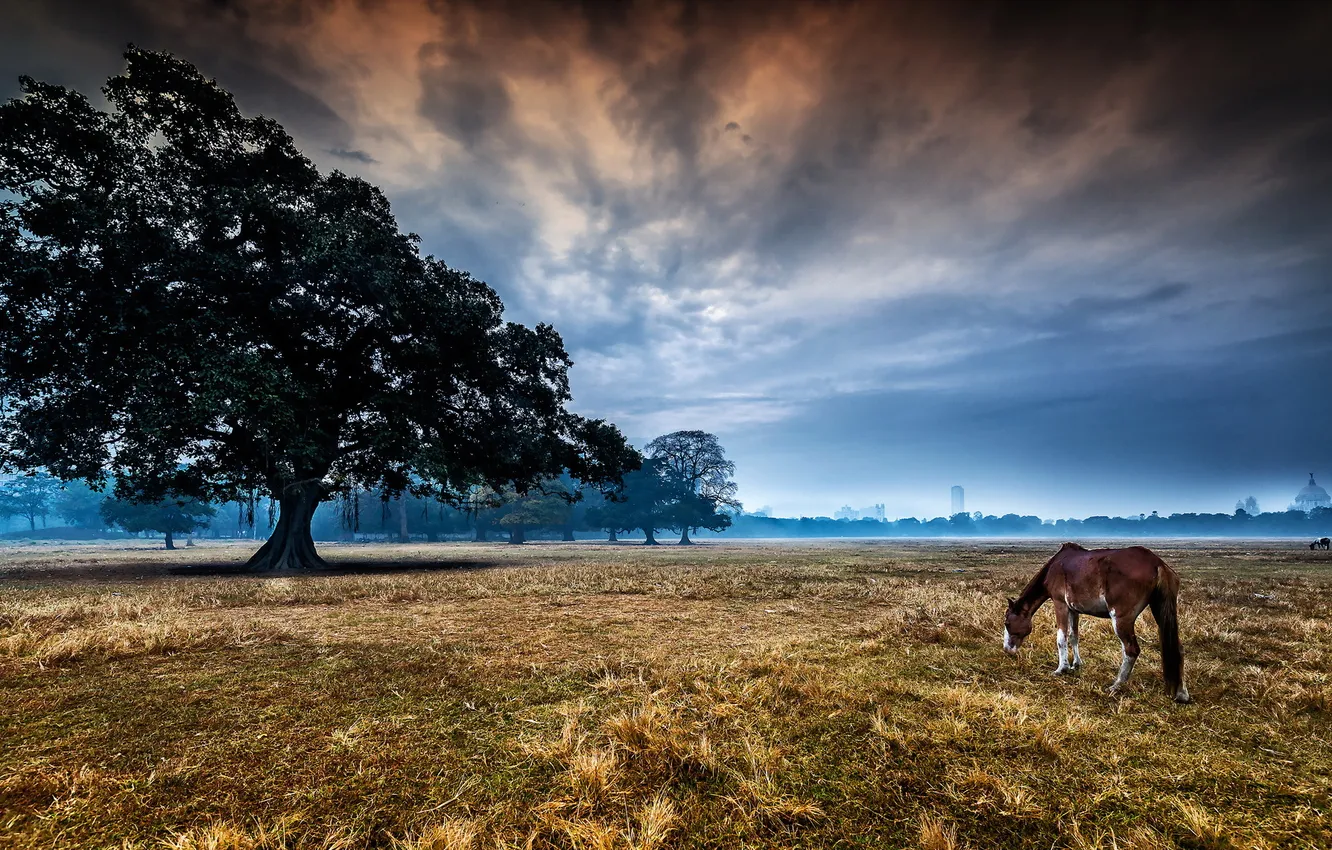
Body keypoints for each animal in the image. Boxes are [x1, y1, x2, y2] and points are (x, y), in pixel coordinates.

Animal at [1003, 542, 1189, 703]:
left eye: (1007, 624)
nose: (1007, 649)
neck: (1055, 566)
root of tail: (1157, 563)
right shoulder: (1073, 609)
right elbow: (1074, 636)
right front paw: (1075, 664)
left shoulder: (1060, 604)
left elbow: (1061, 638)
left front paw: (1061, 669)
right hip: (1160, 609)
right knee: (1178, 648)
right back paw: (1181, 693)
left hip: (1121, 619)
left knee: (1131, 650)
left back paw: (1116, 685)